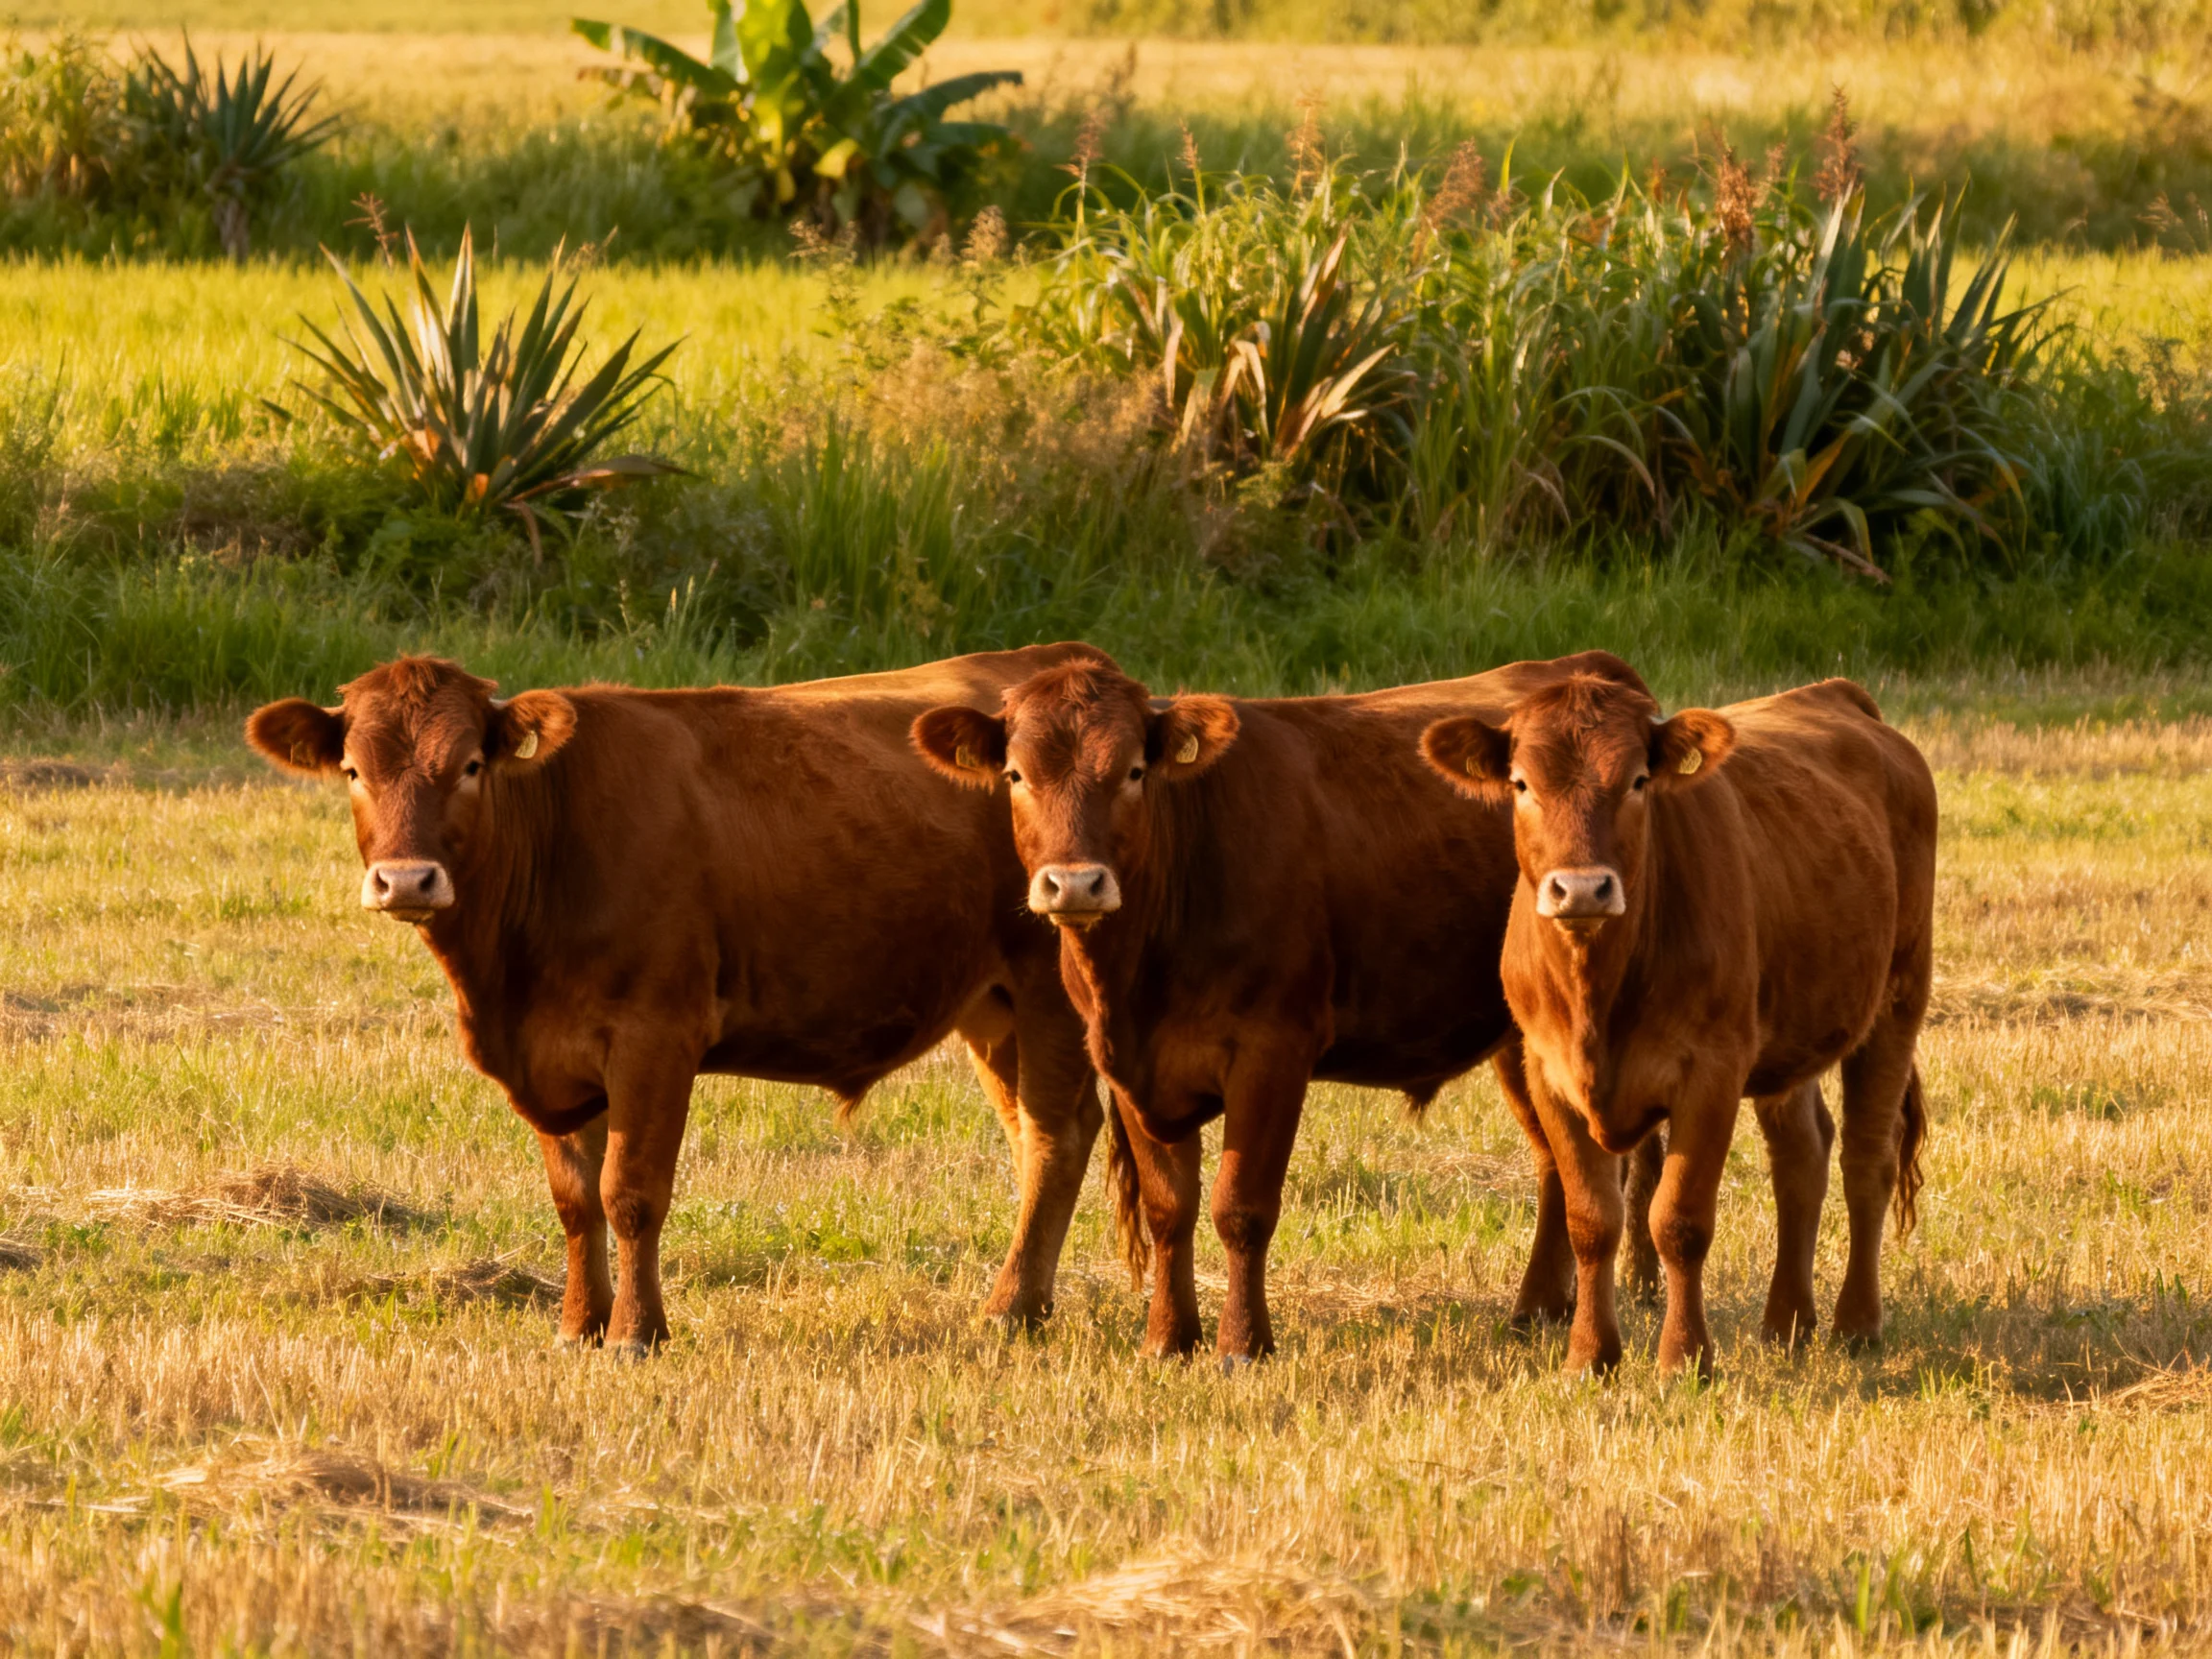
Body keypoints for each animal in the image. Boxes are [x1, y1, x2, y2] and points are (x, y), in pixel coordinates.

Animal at [245, 646, 1114, 1356]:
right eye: (355, 771)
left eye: (468, 765)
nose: (406, 880)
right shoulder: (554, 1056)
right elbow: (574, 1200)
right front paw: (578, 1327)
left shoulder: (655, 1036)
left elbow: (629, 1192)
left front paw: (636, 1334)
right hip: (991, 1007)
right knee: (1031, 1136)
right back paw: (1028, 1302)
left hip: (1049, 988)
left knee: (1057, 1135)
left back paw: (1009, 1311)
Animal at [912, 651, 1669, 1364]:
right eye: (1016, 776)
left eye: (1132, 772)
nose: (1075, 883)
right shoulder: (1128, 1062)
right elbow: (1168, 1207)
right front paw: (1167, 1338)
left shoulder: (1273, 1050)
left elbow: (1240, 1207)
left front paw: (1242, 1344)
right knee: (1558, 1163)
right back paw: (1539, 1308)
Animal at [1421, 673, 1935, 1376]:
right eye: (1521, 784)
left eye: (1638, 780)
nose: (1582, 889)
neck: (1599, 990)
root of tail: (1833, 694)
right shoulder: (1547, 1071)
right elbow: (1591, 1220)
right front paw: (1590, 1356)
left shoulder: (1711, 1072)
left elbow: (1680, 1220)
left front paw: (1685, 1358)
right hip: (1788, 1031)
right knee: (1802, 1154)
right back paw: (1786, 1323)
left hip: (1899, 999)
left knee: (1867, 1159)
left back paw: (1855, 1324)